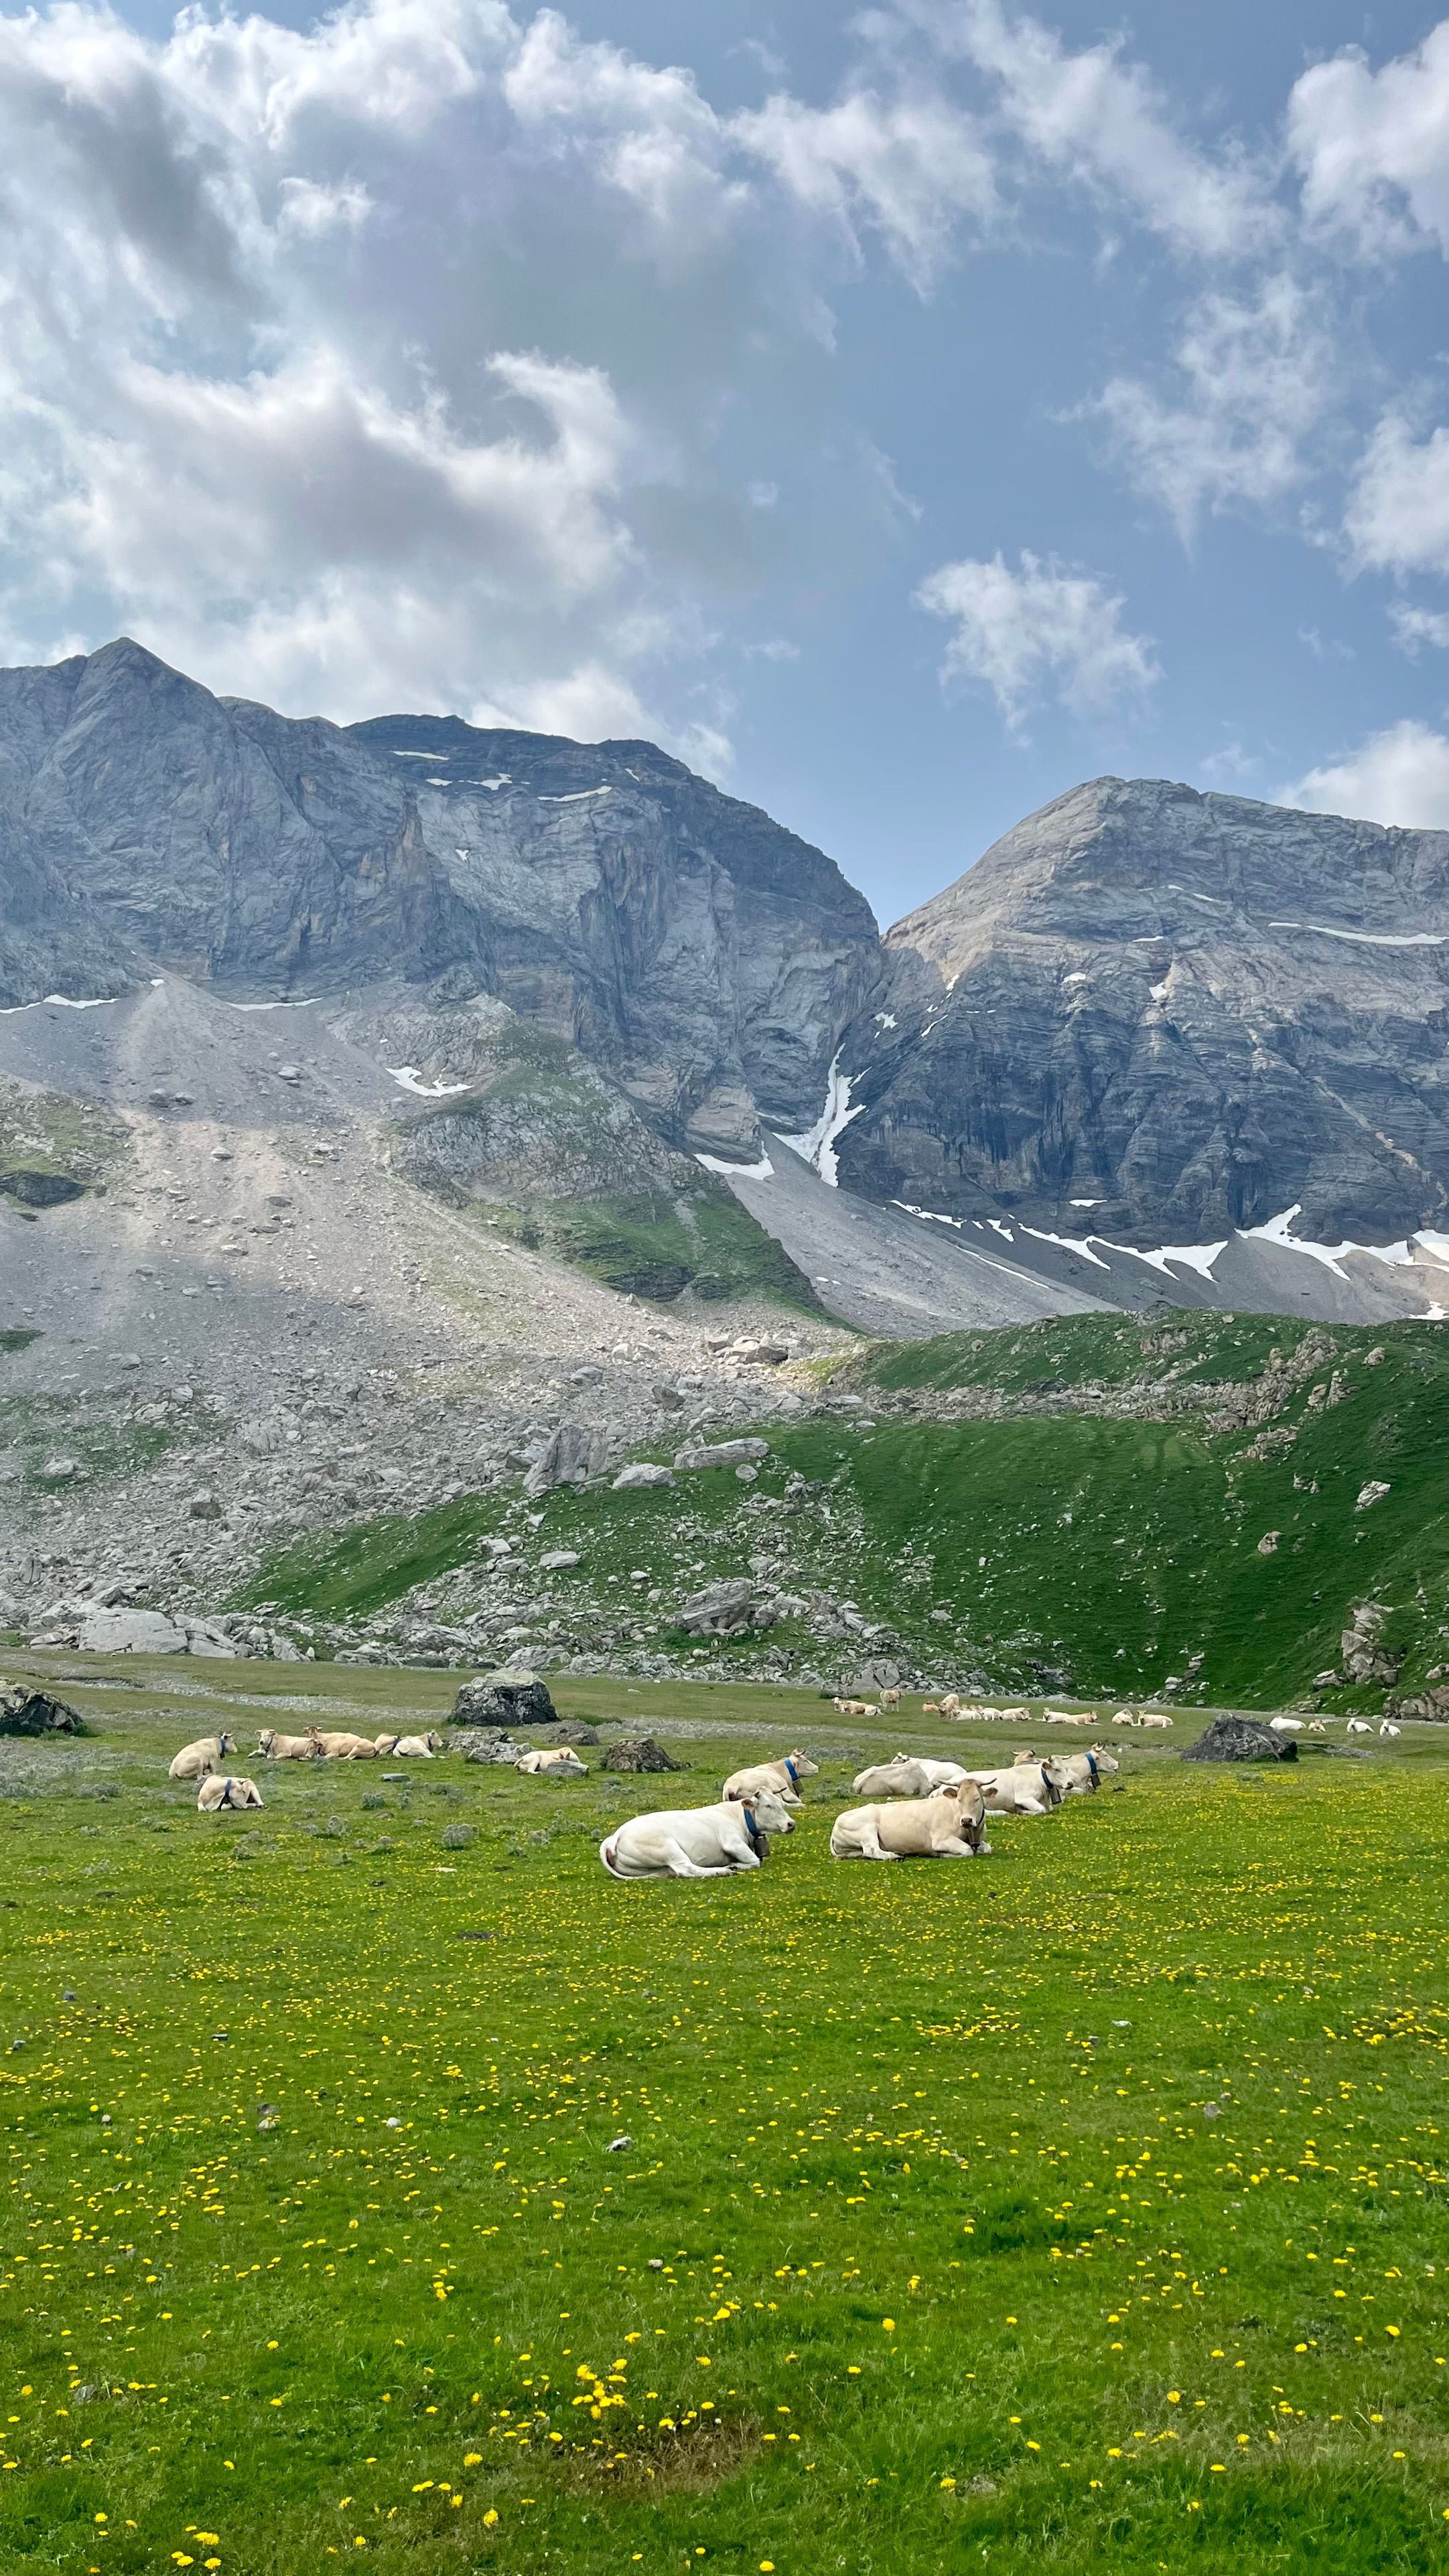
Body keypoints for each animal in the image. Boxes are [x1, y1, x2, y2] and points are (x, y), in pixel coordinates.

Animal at [604, 1782, 797, 1885]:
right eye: (768, 1806)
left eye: (781, 1804)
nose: (791, 1824)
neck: (738, 1816)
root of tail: (614, 1837)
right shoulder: (732, 1843)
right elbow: (755, 1861)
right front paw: (735, 1865)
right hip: (669, 1848)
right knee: (686, 1869)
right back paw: (724, 1871)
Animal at [720, 1751, 823, 1813]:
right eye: (805, 1760)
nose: (817, 1768)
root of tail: (731, 1786)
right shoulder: (787, 1792)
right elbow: (797, 1799)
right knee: (783, 1804)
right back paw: (801, 1806)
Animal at [833, 1782, 993, 1865]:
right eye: (959, 1799)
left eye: (977, 1799)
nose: (966, 1820)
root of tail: (837, 1823)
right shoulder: (941, 1840)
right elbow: (967, 1850)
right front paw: (943, 1854)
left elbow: (987, 1848)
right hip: (867, 1830)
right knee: (872, 1850)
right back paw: (896, 1856)